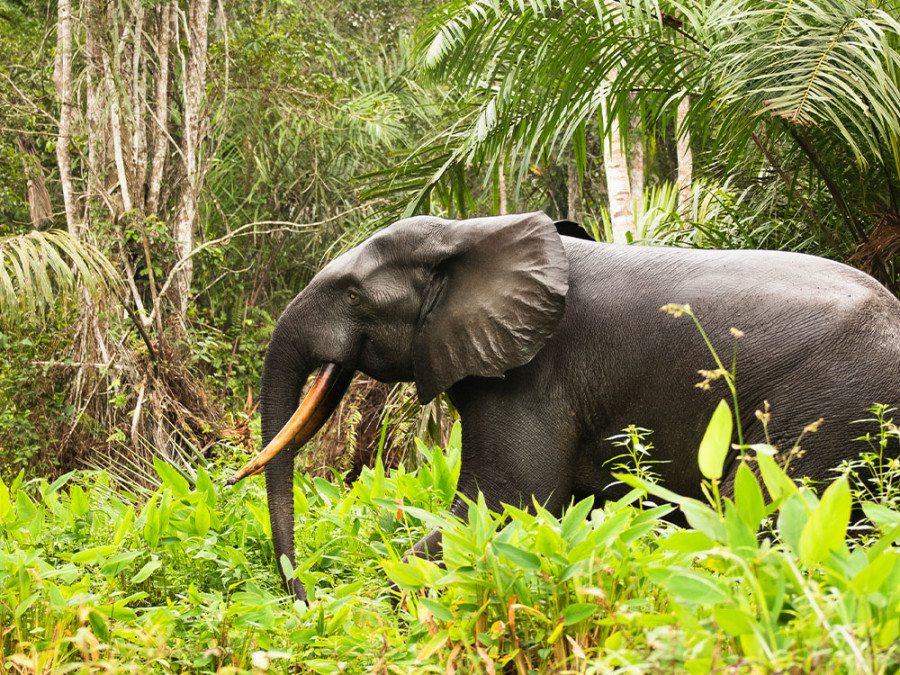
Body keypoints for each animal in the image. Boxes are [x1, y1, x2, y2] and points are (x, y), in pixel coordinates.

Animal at [225, 213, 900, 604]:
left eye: (352, 294)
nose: (304, 600)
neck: (474, 231)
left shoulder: (534, 375)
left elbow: (505, 504)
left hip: (824, 406)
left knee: (755, 517)